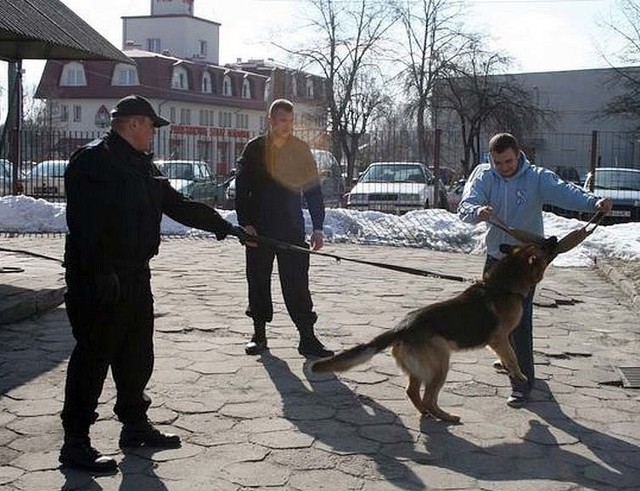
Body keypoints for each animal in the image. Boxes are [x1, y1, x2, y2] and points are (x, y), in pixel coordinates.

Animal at [308, 240, 556, 424]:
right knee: (428, 398)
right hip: (441, 364)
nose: (553, 238)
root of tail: (401, 328)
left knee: (413, 392)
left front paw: (507, 369)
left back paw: (429, 413)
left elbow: (506, 357)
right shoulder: (500, 339)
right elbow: (512, 357)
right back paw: (446, 417)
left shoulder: (498, 342)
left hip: (420, 369)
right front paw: (519, 375)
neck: (502, 286)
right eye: (543, 247)